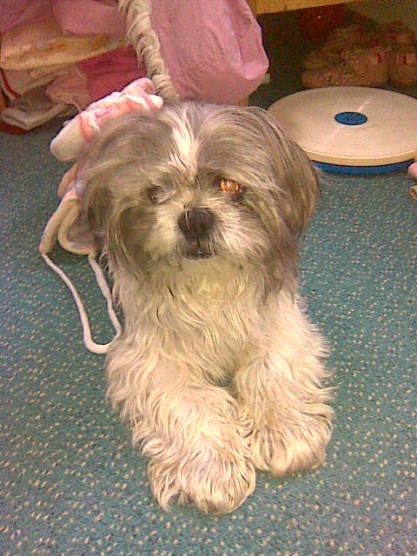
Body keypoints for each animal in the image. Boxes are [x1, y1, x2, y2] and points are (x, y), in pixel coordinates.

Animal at [81, 102, 334, 514]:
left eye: (229, 186)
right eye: (156, 192)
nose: (195, 217)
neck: (209, 283)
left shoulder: (281, 328)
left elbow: (269, 372)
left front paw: (283, 433)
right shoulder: (152, 362)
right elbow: (192, 403)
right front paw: (213, 472)